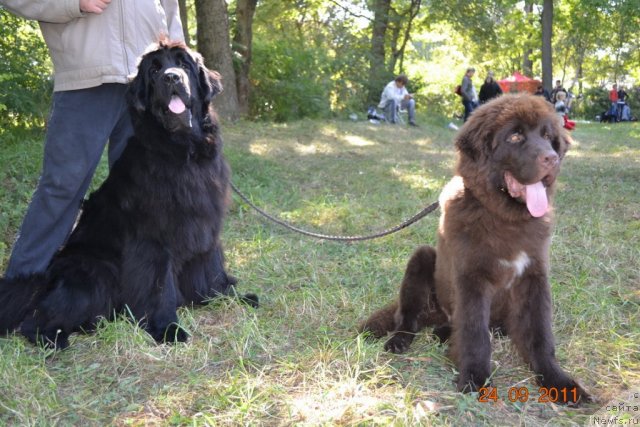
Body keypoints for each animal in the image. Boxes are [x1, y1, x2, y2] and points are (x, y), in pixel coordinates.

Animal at [0, 38, 255, 350]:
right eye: (154, 71)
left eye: (183, 65)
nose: (172, 77)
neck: (184, 151)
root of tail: (45, 278)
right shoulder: (153, 241)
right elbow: (159, 286)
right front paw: (167, 328)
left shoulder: (205, 226)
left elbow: (210, 268)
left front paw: (226, 297)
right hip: (94, 271)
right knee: (36, 318)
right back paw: (54, 338)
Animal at [360, 93, 592, 404]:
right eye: (515, 135)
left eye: (547, 137)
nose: (552, 159)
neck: (504, 218)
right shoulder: (471, 277)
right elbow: (474, 333)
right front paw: (474, 378)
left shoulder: (534, 276)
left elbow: (540, 334)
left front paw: (559, 382)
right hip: (422, 260)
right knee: (407, 316)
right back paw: (401, 340)